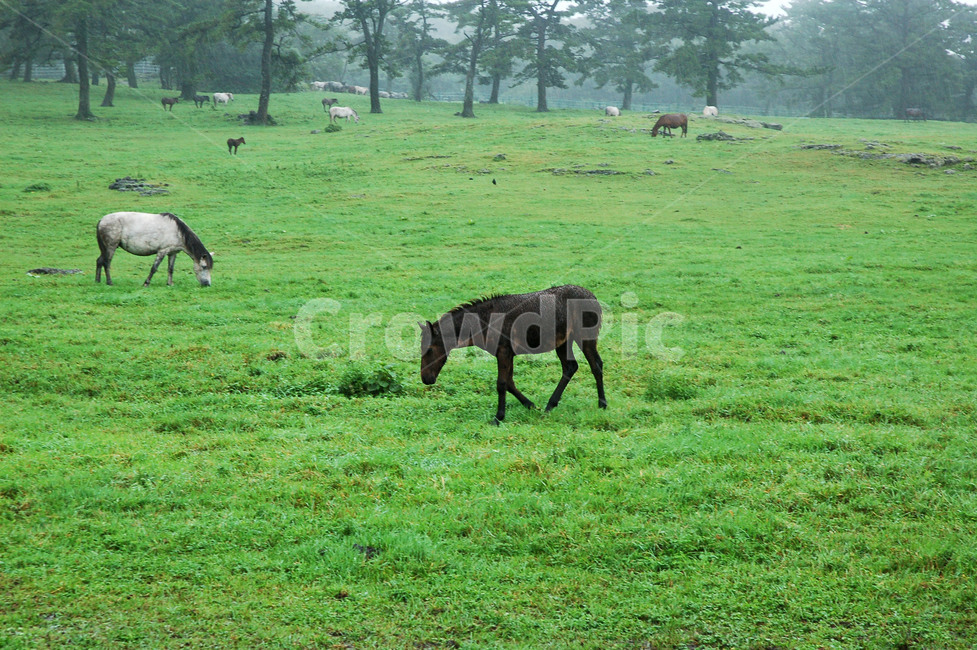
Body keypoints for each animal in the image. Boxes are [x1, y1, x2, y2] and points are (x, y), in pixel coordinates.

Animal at [420, 285, 606, 424]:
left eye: (429, 350)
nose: (426, 379)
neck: (485, 321)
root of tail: (595, 299)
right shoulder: (508, 354)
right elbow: (509, 383)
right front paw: (531, 405)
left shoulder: (503, 352)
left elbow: (501, 384)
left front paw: (498, 417)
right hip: (563, 342)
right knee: (570, 367)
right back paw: (550, 405)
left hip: (585, 337)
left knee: (596, 365)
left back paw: (602, 404)